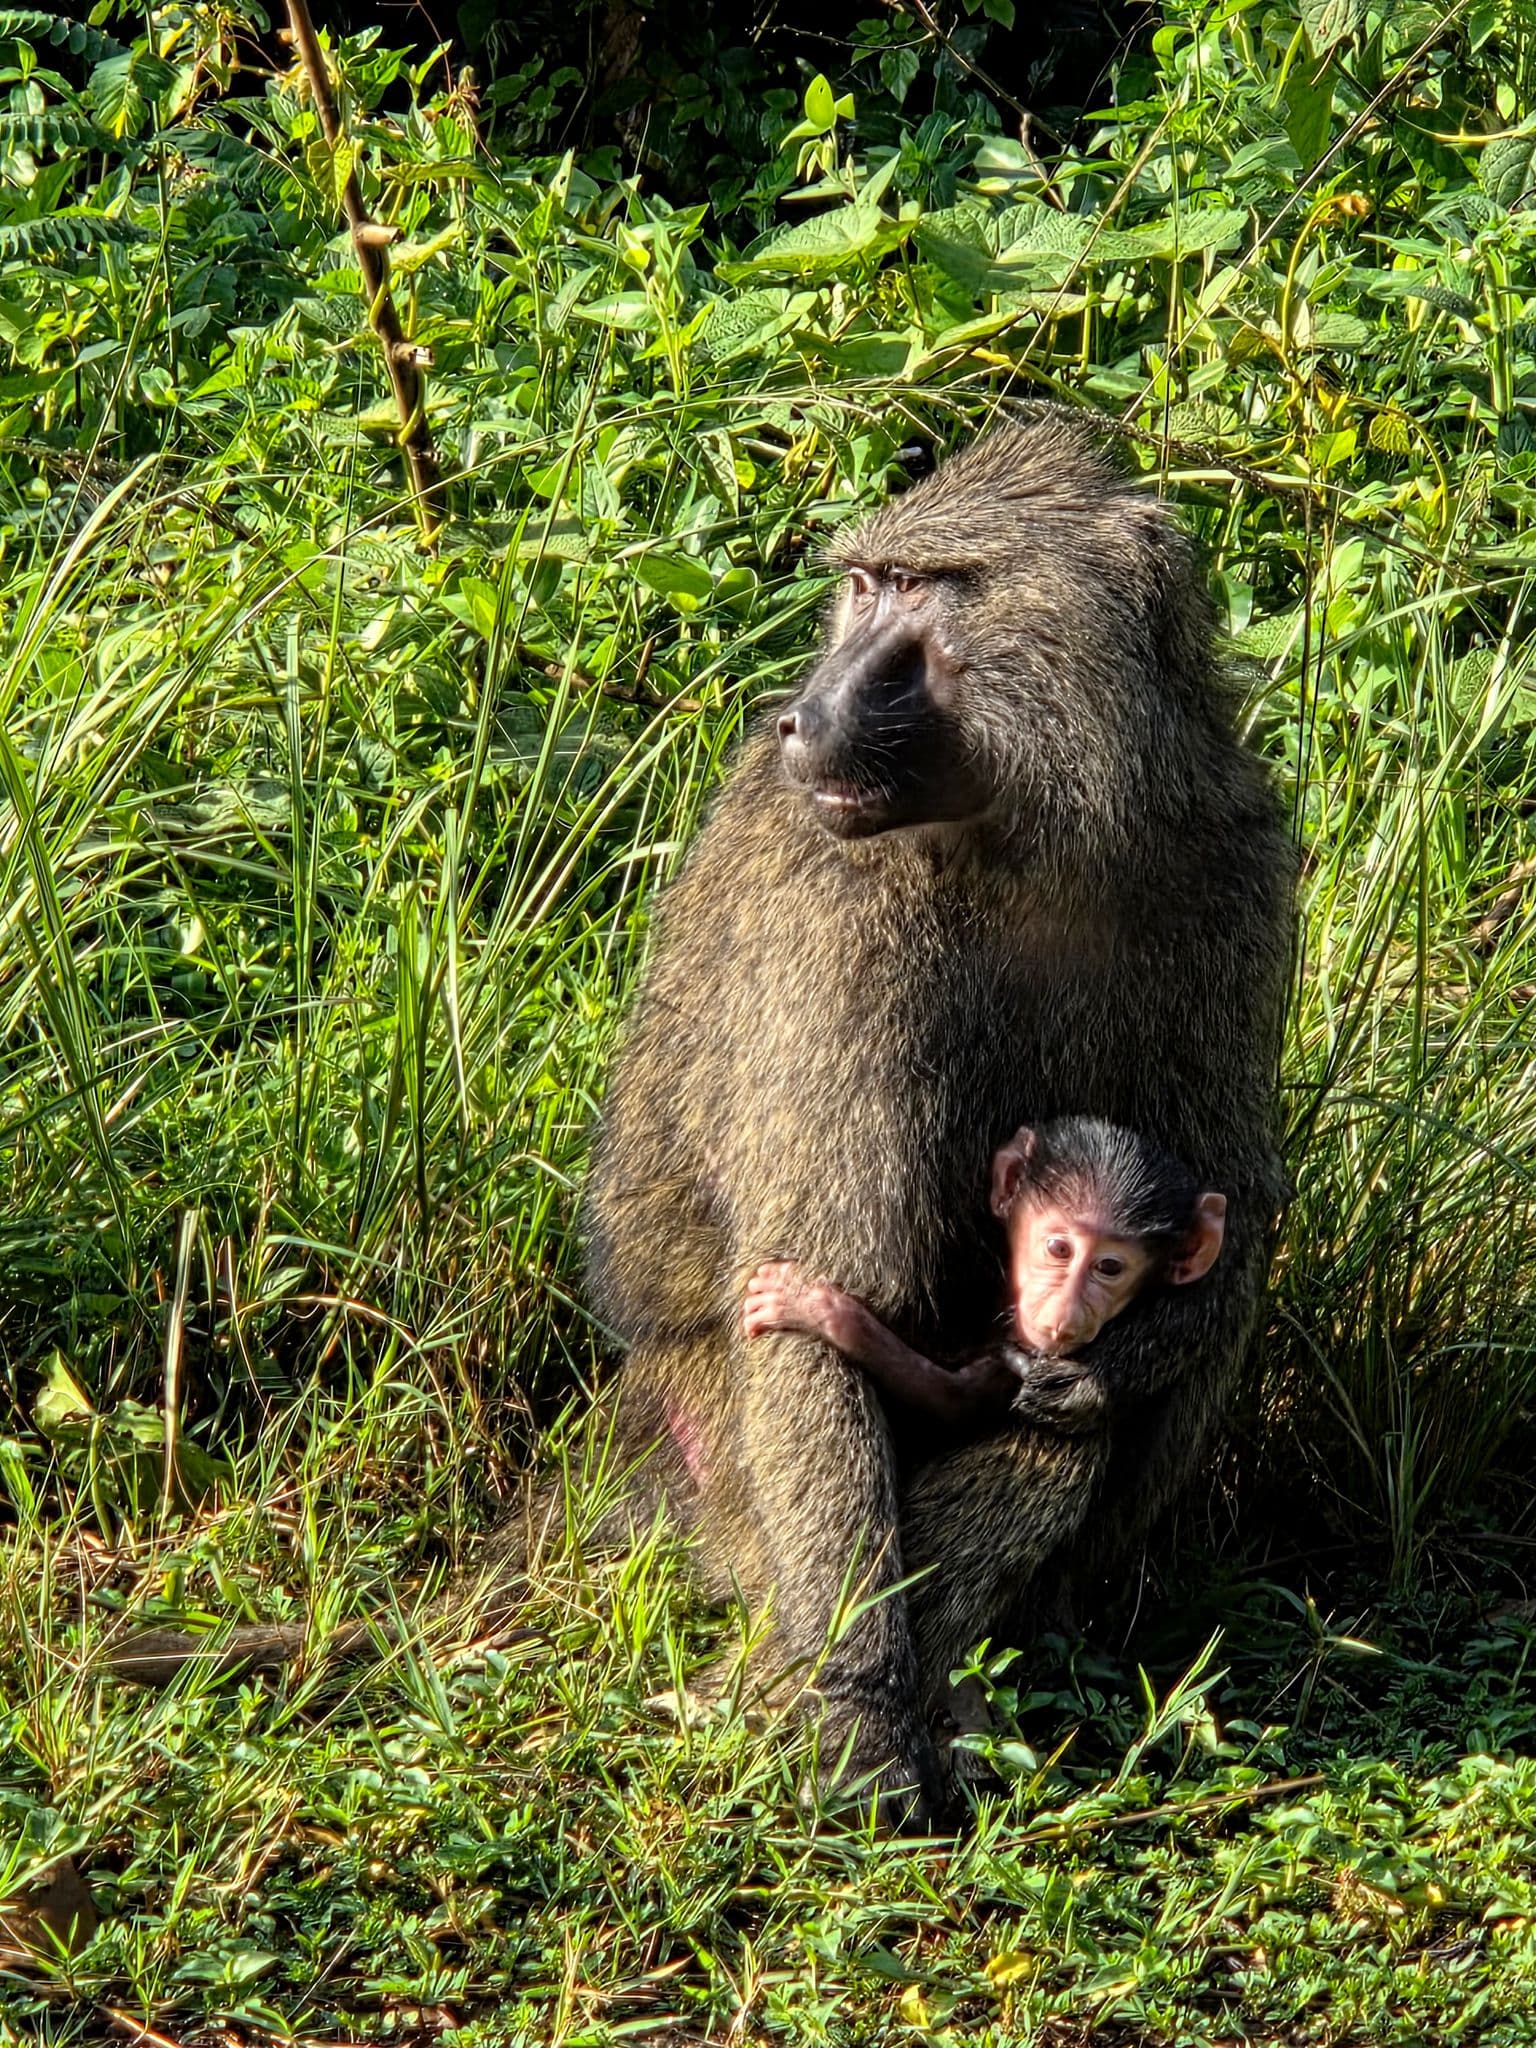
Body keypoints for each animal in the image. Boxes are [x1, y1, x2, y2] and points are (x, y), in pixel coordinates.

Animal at [740, 1117, 1228, 1441]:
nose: (1065, 1315)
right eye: (1059, 1249)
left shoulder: (1020, 1363)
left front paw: (817, 1309)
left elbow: (950, 1400)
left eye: (1110, 1268)